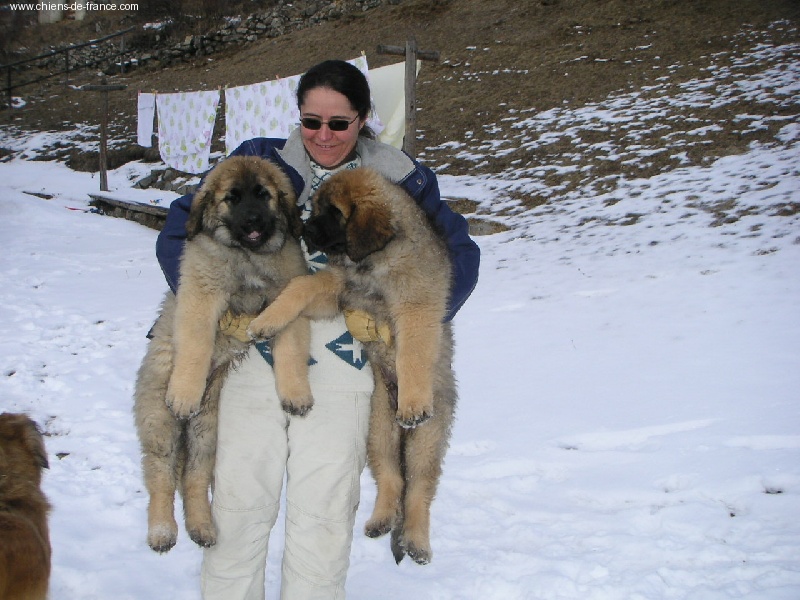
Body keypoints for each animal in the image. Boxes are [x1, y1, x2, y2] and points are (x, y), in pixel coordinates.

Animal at [250, 169, 456, 568]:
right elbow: (301, 285)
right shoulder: (337, 291)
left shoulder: (417, 306)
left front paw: (414, 401)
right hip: (378, 431)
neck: (372, 264)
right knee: (392, 479)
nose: (303, 229)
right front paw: (268, 319)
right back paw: (381, 520)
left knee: (419, 489)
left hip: (427, 440)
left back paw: (417, 541)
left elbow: (413, 353)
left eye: (333, 212)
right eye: (314, 207)